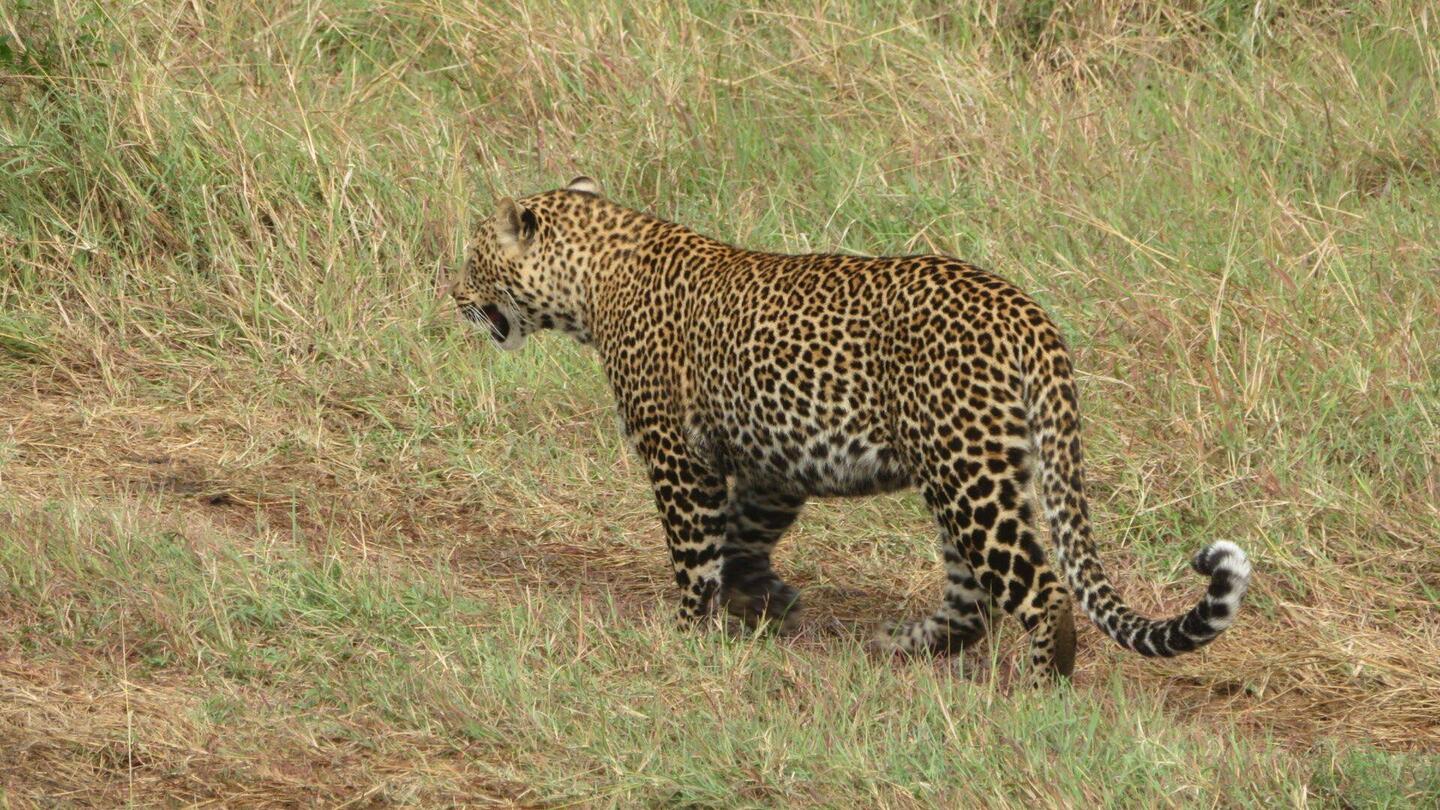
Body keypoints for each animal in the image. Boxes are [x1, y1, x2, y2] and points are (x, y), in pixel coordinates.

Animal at [450, 176, 1251, 678]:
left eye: (473, 258)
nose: (450, 292)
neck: (592, 281)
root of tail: (1028, 315)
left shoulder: (679, 457)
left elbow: (694, 553)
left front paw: (686, 633)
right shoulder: (772, 463)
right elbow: (745, 538)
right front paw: (763, 601)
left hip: (967, 475)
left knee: (1038, 590)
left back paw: (1040, 688)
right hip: (967, 470)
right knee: (973, 601)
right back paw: (901, 645)